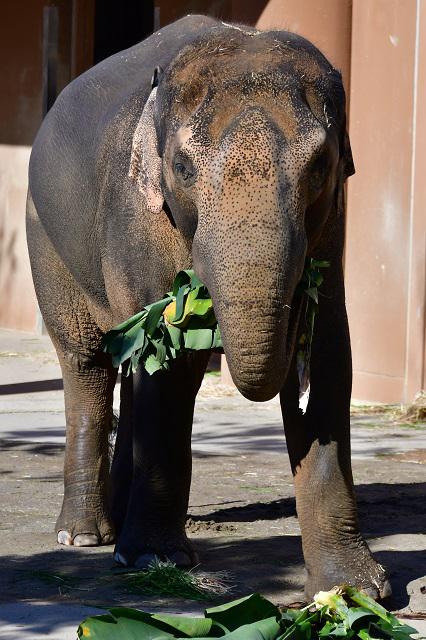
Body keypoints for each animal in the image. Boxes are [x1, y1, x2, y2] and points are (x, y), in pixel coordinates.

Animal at [25, 12, 390, 596]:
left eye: (320, 165)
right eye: (182, 166)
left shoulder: (333, 223)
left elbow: (331, 353)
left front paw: (349, 590)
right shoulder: (138, 215)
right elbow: (170, 358)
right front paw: (157, 561)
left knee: (130, 363)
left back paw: (119, 526)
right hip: (45, 236)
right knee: (88, 362)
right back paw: (84, 537)